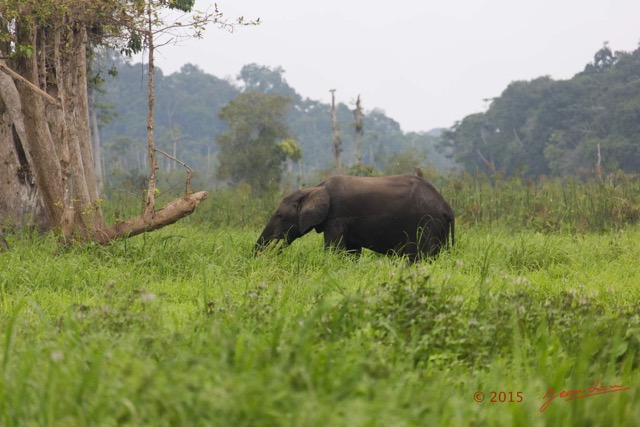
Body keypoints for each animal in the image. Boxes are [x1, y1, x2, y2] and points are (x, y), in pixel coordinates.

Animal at [255, 174, 456, 260]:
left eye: (280, 215)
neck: (315, 188)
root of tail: (447, 208)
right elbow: (352, 252)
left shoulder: (336, 217)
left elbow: (333, 250)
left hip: (428, 224)